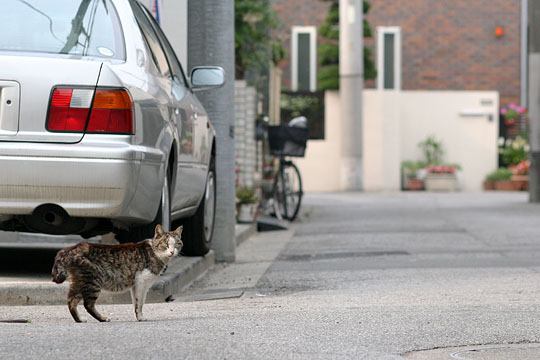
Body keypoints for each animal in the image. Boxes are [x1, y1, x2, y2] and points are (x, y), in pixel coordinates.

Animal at [52, 225, 184, 324]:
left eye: (177, 244)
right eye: (165, 244)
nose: (172, 252)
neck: (155, 253)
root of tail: (70, 249)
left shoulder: (136, 285)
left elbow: (136, 302)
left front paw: (138, 317)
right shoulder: (141, 282)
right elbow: (140, 303)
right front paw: (141, 317)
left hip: (81, 282)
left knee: (71, 301)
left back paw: (79, 319)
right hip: (93, 282)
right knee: (88, 304)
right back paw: (103, 318)